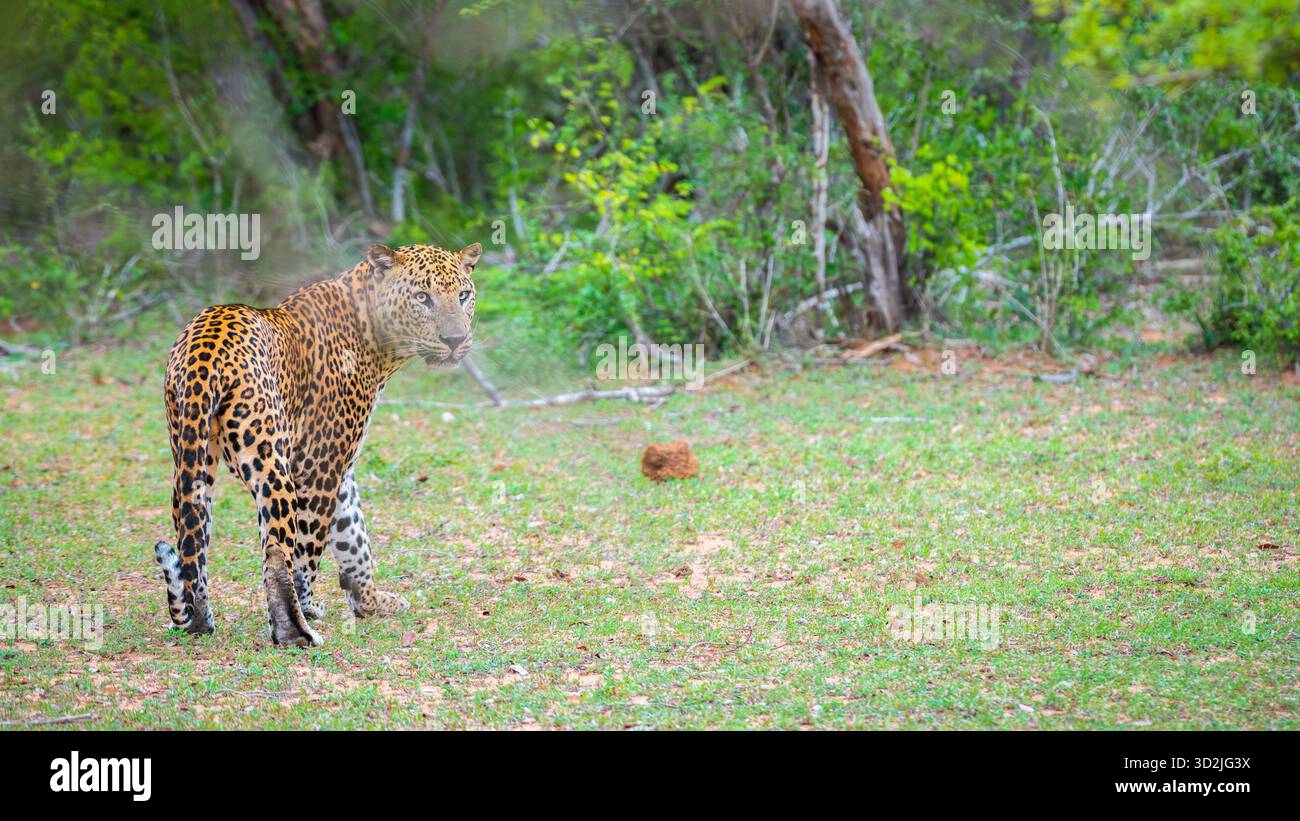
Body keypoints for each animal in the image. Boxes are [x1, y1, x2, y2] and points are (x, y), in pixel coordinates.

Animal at [154, 242, 480, 647]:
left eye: (463, 295)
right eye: (423, 297)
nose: (455, 341)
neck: (377, 340)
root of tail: (204, 353)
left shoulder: (342, 468)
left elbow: (354, 536)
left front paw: (370, 601)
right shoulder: (319, 464)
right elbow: (310, 549)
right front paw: (311, 605)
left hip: (189, 456)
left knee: (192, 540)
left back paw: (200, 620)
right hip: (270, 461)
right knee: (277, 552)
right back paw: (295, 631)